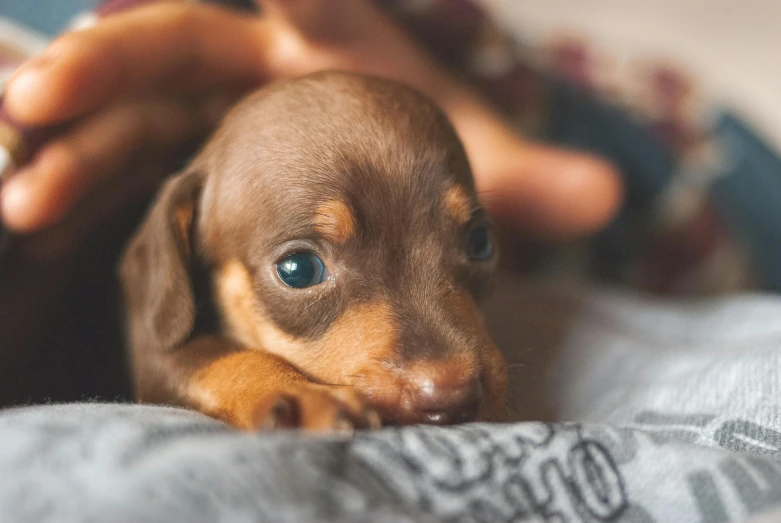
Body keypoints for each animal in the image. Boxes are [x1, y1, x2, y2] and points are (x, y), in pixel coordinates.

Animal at [116, 71, 506, 432]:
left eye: (480, 242)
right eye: (298, 270)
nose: (452, 396)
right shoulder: (153, 356)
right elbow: (217, 359)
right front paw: (299, 394)